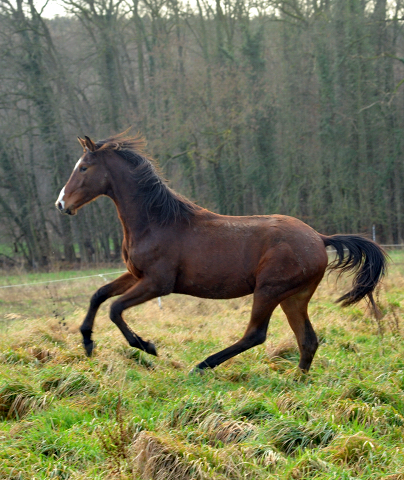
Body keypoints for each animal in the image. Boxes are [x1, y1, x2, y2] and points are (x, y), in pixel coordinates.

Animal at [55, 133, 386, 374]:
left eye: (83, 168)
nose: (61, 203)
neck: (156, 222)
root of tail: (319, 238)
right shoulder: (136, 275)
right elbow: (99, 295)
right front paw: (87, 342)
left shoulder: (158, 284)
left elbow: (115, 308)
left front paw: (146, 346)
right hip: (294, 296)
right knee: (307, 340)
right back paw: (297, 382)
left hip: (269, 290)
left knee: (256, 334)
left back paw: (202, 365)